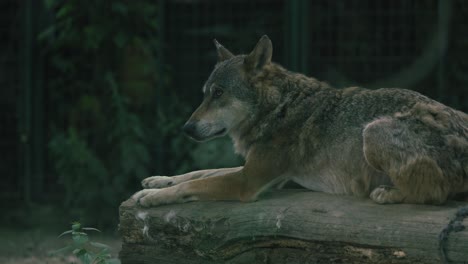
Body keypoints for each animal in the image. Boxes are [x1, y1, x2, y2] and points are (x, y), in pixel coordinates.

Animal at [133, 35, 468, 207]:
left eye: (219, 93)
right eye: (205, 94)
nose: (186, 129)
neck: (278, 108)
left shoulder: (247, 181)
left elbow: (197, 183)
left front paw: (151, 197)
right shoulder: (258, 171)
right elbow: (198, 173)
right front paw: (157, 180)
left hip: (371, 130)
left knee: (434, 195)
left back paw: (388, 194)